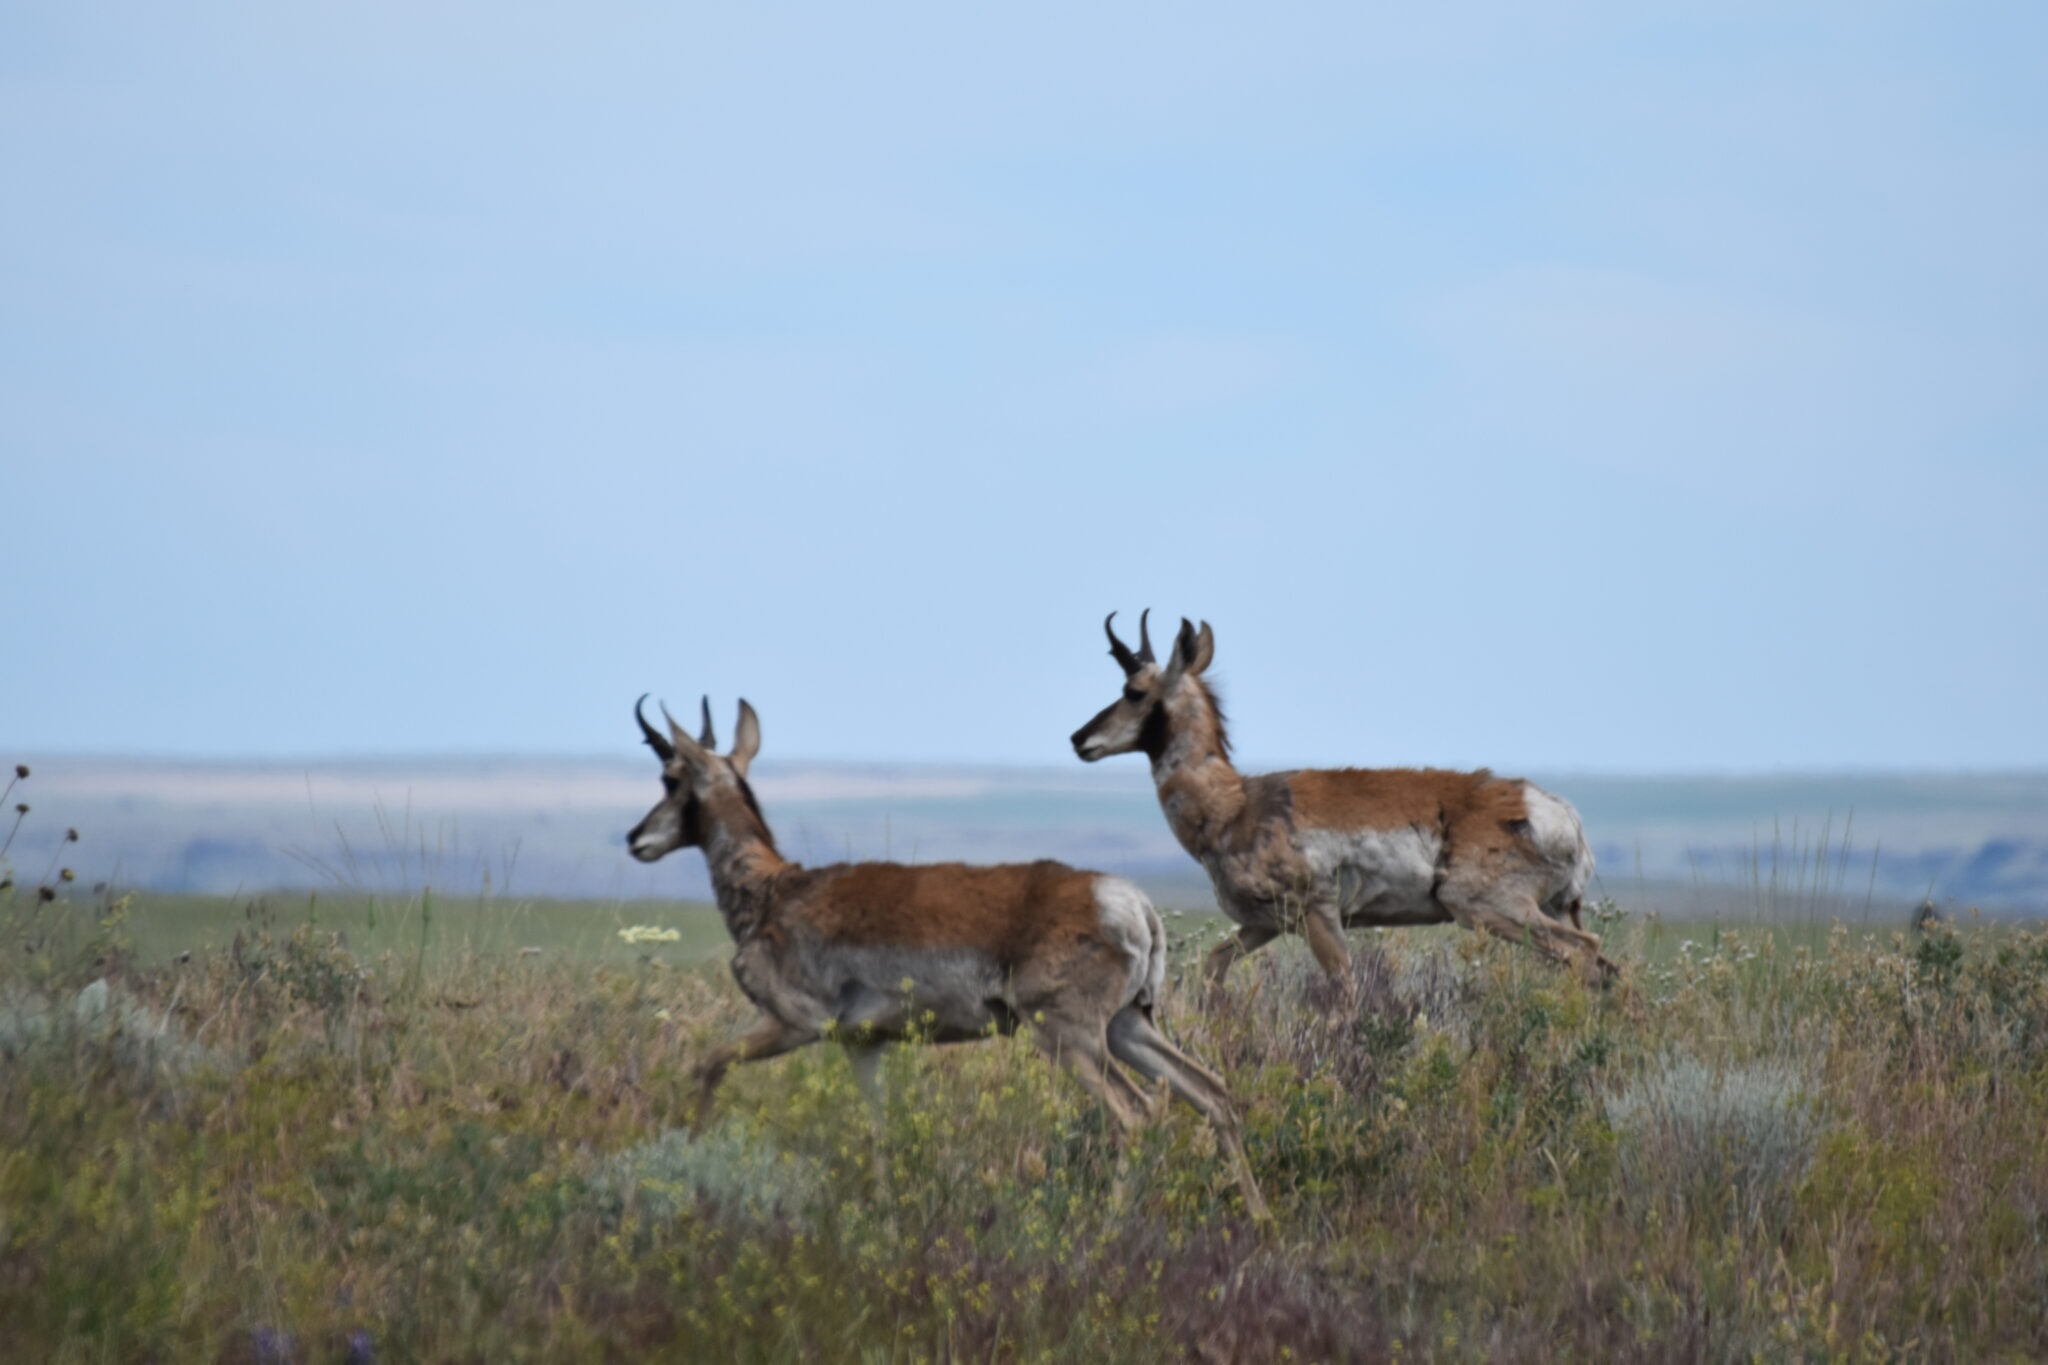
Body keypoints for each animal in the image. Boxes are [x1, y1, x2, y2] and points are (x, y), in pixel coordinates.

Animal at [625, 694, 1269, 1221]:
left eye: (670, 777)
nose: (635, 839)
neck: (774, 892)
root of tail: (1126, 900)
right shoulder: (864, 1045)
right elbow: (878, 1127)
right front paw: (884, 1211)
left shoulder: (793, 1025)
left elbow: (708, 1065)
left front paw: (692, 1175)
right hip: (1128, 1025)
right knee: (1210, 1091)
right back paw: (1258, 1218)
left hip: (1069, 1035)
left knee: (1134, 1114)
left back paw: (1109, 1228)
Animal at [1070, 614, 1616, 990]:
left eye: (1133, 691)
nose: (1079, 739)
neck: (1237, 805)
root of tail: (1561, 814)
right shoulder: (1263, 925)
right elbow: (1213, 965)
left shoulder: (1319, 914)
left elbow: (1344, 988)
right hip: (1554, 908)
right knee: (1605, 965)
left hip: (1489, 908)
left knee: (1583, 951)